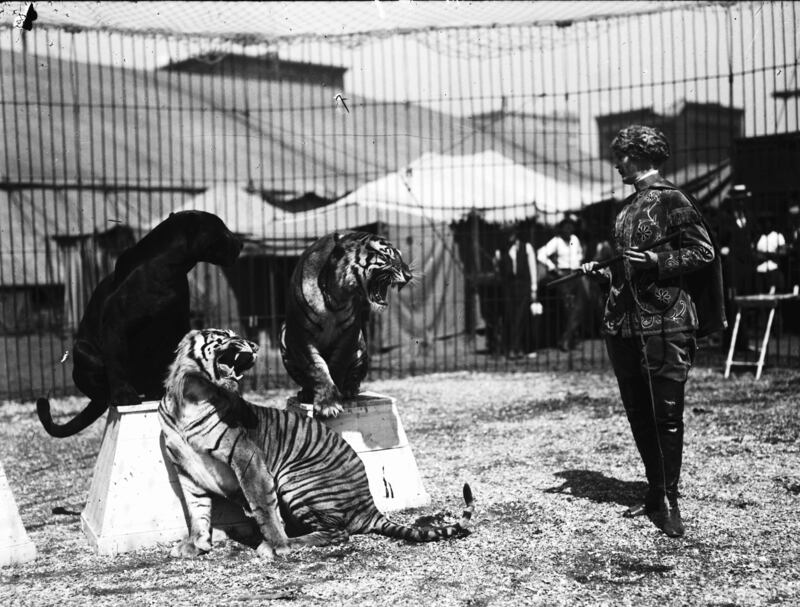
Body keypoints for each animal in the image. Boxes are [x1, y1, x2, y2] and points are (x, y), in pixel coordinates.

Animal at [159, 328, 474, 559]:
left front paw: (277, 545)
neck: (190, 396)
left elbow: (263, 507)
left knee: (337, 532)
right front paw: (195, 545)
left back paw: (284, 543)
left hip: (296, 479)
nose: (255, 346)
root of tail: (369, 506)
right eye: (224, 334)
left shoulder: (247, 459)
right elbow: (196, 511)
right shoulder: (186, 470)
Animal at [279, 231, 412, 418]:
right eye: (387, 256)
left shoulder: (350, 332)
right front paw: (328, 404)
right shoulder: (301, 334)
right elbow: (316, 368)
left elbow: (337, 364)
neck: (336, 295)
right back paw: (305, 393)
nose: (409, 276)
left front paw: (335, 396)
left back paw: (348, 390)